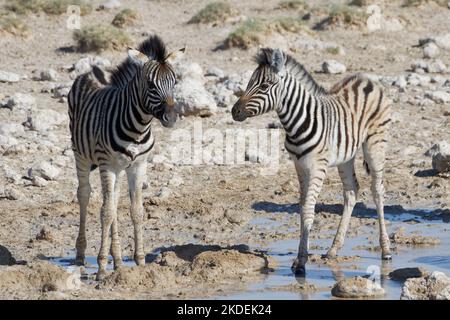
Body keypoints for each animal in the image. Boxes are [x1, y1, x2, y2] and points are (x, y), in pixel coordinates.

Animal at [67, 35, 184, 280]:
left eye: (175, 83)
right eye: (151, 85)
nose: (170, 118)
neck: (137, 128)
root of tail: (90, 70)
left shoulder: (138, 164)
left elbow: (135, 211)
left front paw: (139, 261)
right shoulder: (106, 165)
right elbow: (106, 212)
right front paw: (102, 267)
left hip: (118, 167)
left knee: (113, 198)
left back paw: (119, 259)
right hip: (81, 155)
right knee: (84, 194)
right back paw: (81, 255)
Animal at [234, 48, 392, 276]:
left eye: (264, 86)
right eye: (248, 83)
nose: (234, 111)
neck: (297, 122)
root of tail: (365, 79)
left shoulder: (318, 166)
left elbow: (309, 209)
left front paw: (301, 262)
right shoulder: (299, 165)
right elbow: (302, 207)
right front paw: (299, 258)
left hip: (376, 144)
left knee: (377, 191)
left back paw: (386, 250)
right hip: (346, 156)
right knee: (352, 191)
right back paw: (333, 249)